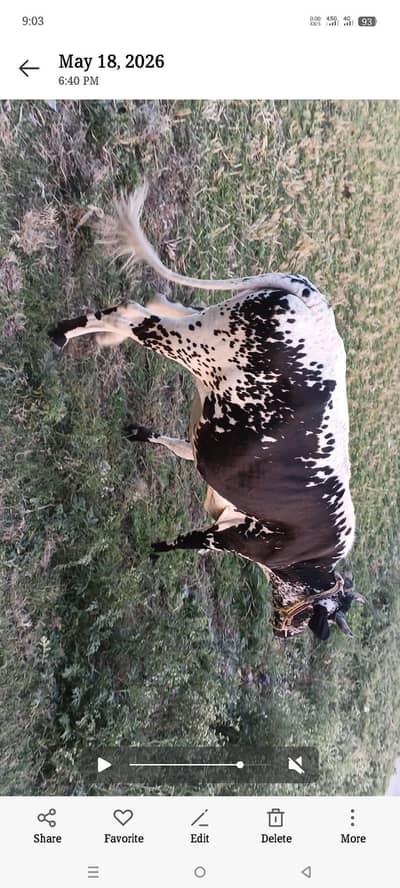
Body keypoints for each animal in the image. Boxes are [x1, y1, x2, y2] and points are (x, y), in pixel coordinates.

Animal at [49, 182, 364, 641]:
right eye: (308, 620)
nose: (281, 632)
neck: (307, 559)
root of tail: (315, 306)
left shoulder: (203, 447)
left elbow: (176, 447)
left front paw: (138, 434)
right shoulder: (231, 537)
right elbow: (190, 541)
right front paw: (155, 549)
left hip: (202, 324)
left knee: (157, 301)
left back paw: (90, 335)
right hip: (192, 346)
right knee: (133, 313)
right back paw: (64, 333)